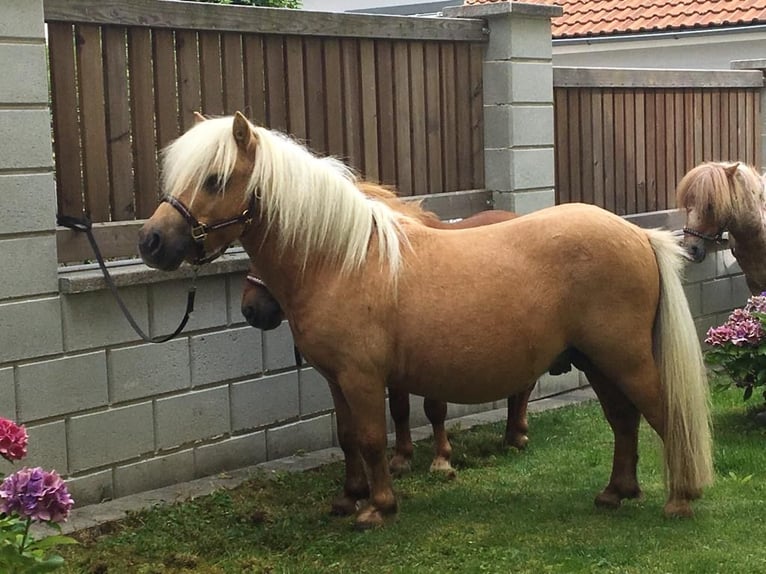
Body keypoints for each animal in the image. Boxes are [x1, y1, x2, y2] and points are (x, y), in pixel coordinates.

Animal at [240, 187, 533, 477]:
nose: (250, 310)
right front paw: (402, 458)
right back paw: (511, 434)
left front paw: (441, 459)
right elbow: (399, 409)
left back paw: (518, 434)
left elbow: (435, 409)